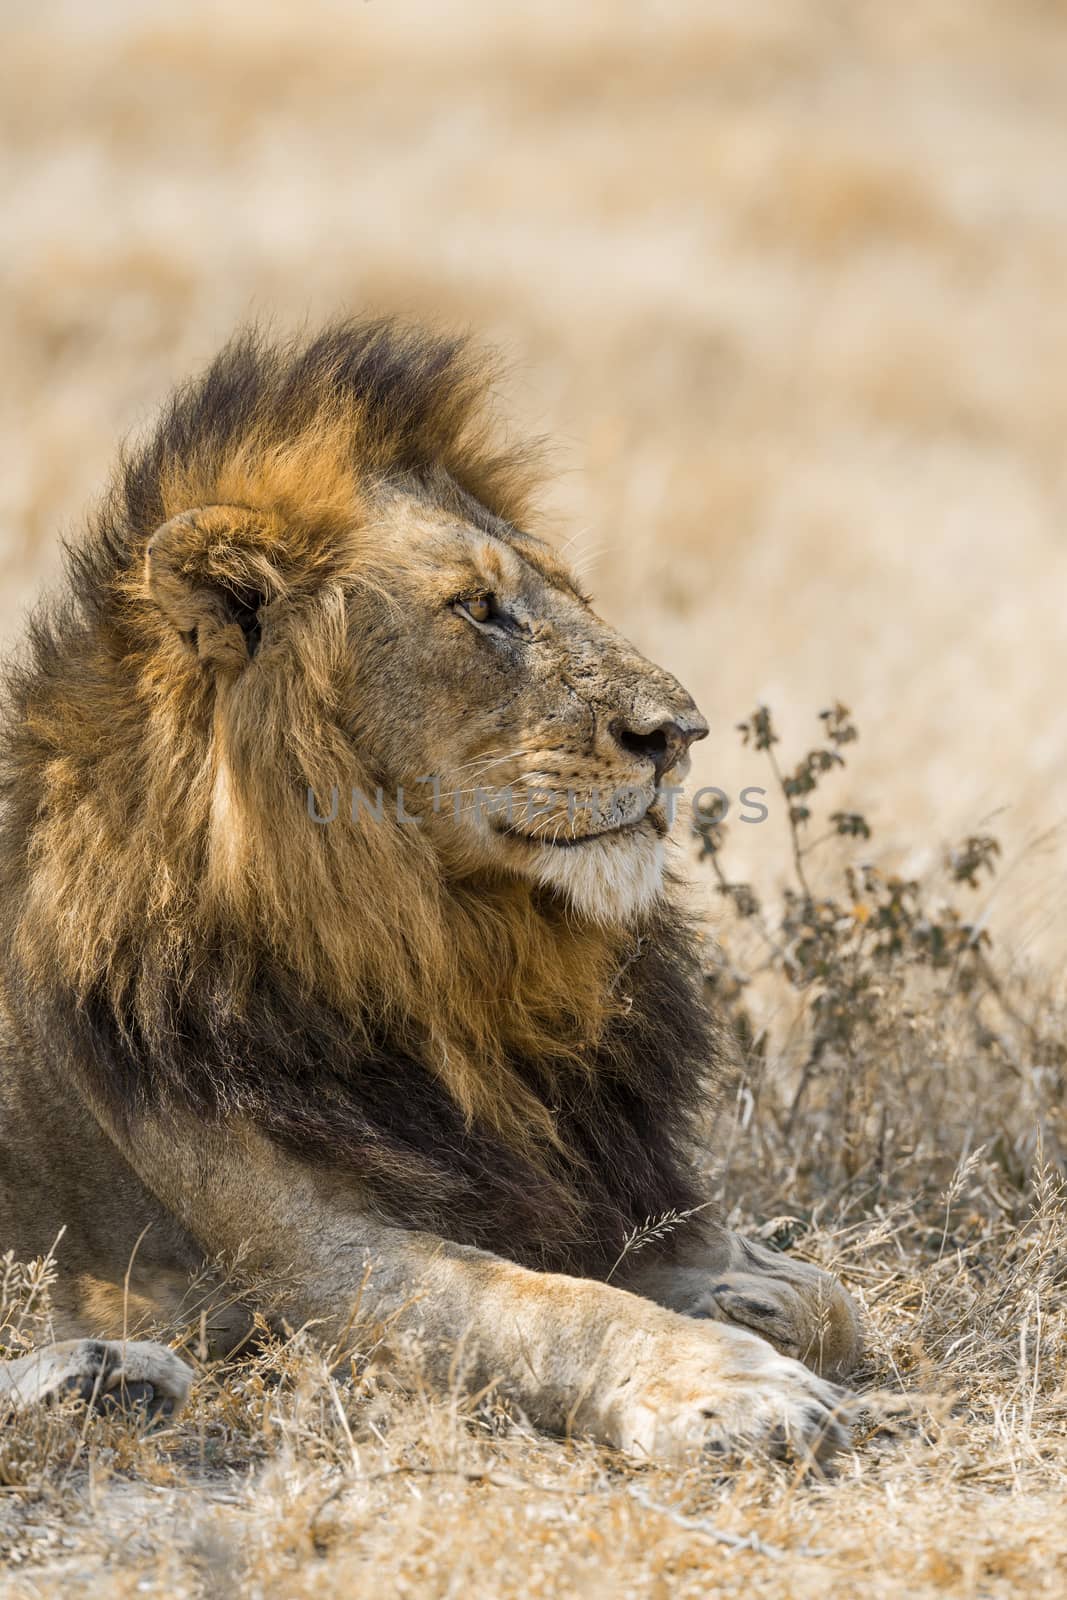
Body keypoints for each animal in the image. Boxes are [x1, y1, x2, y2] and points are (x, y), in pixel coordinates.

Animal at [0, 318, 857, 1459]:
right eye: (478, 611)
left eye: (567, 595)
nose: (678, 734)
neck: (445, 958)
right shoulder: (303, 1259)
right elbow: (547, 1308)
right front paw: (727, 1380)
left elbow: (830, 1299)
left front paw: (747, 1293)